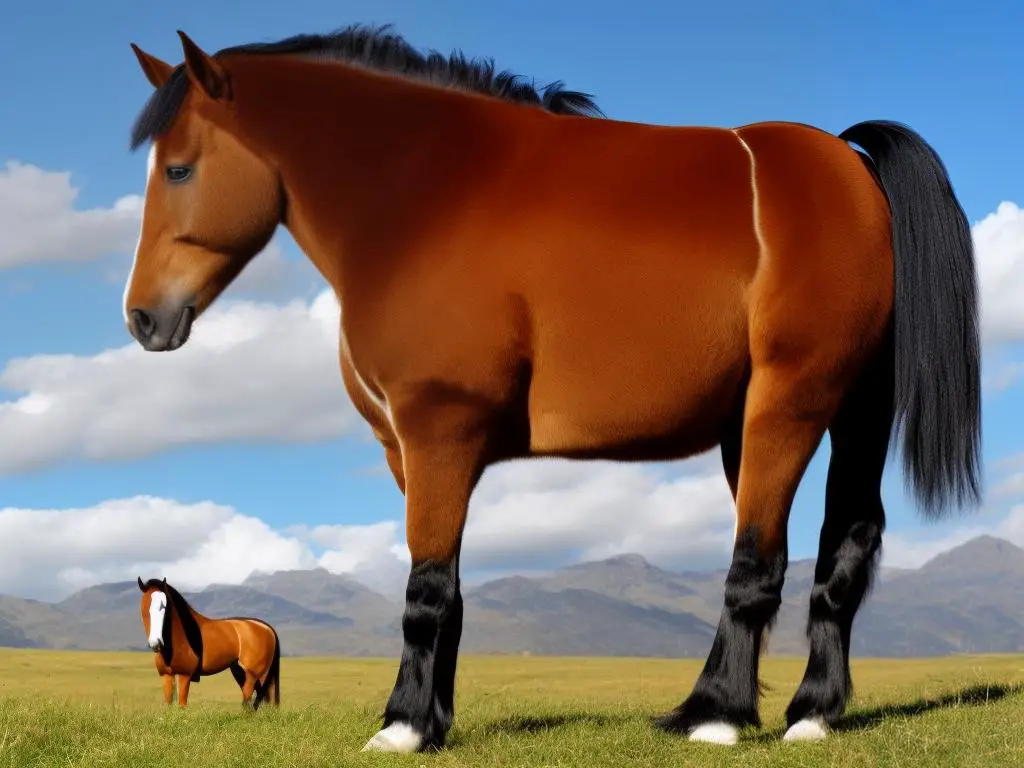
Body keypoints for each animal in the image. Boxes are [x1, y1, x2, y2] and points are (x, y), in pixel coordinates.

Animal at [136, 577, 282, 708]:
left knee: (251, 698)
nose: (156, 643)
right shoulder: (166, 675)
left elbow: (182, 705)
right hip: (241, 672)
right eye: (144, 607)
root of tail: (266, 628)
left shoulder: (184, 675)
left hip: (256, 674)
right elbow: (169, 705)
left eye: (165, 608)